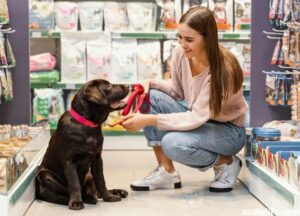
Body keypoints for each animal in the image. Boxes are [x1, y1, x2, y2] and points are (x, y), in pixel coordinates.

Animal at [35, 79, 129, 209]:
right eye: (108, 86)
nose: (128, 85)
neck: (87, 125)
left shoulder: (97, 159)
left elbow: (101, 181)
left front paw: (108, 197)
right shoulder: (69, 161)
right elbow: (74, 184)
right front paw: (76, 202)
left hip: (88, 175)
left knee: (94, 191)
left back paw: (117, 192)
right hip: (45, 175)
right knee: (60, 196)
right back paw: (86, 199)